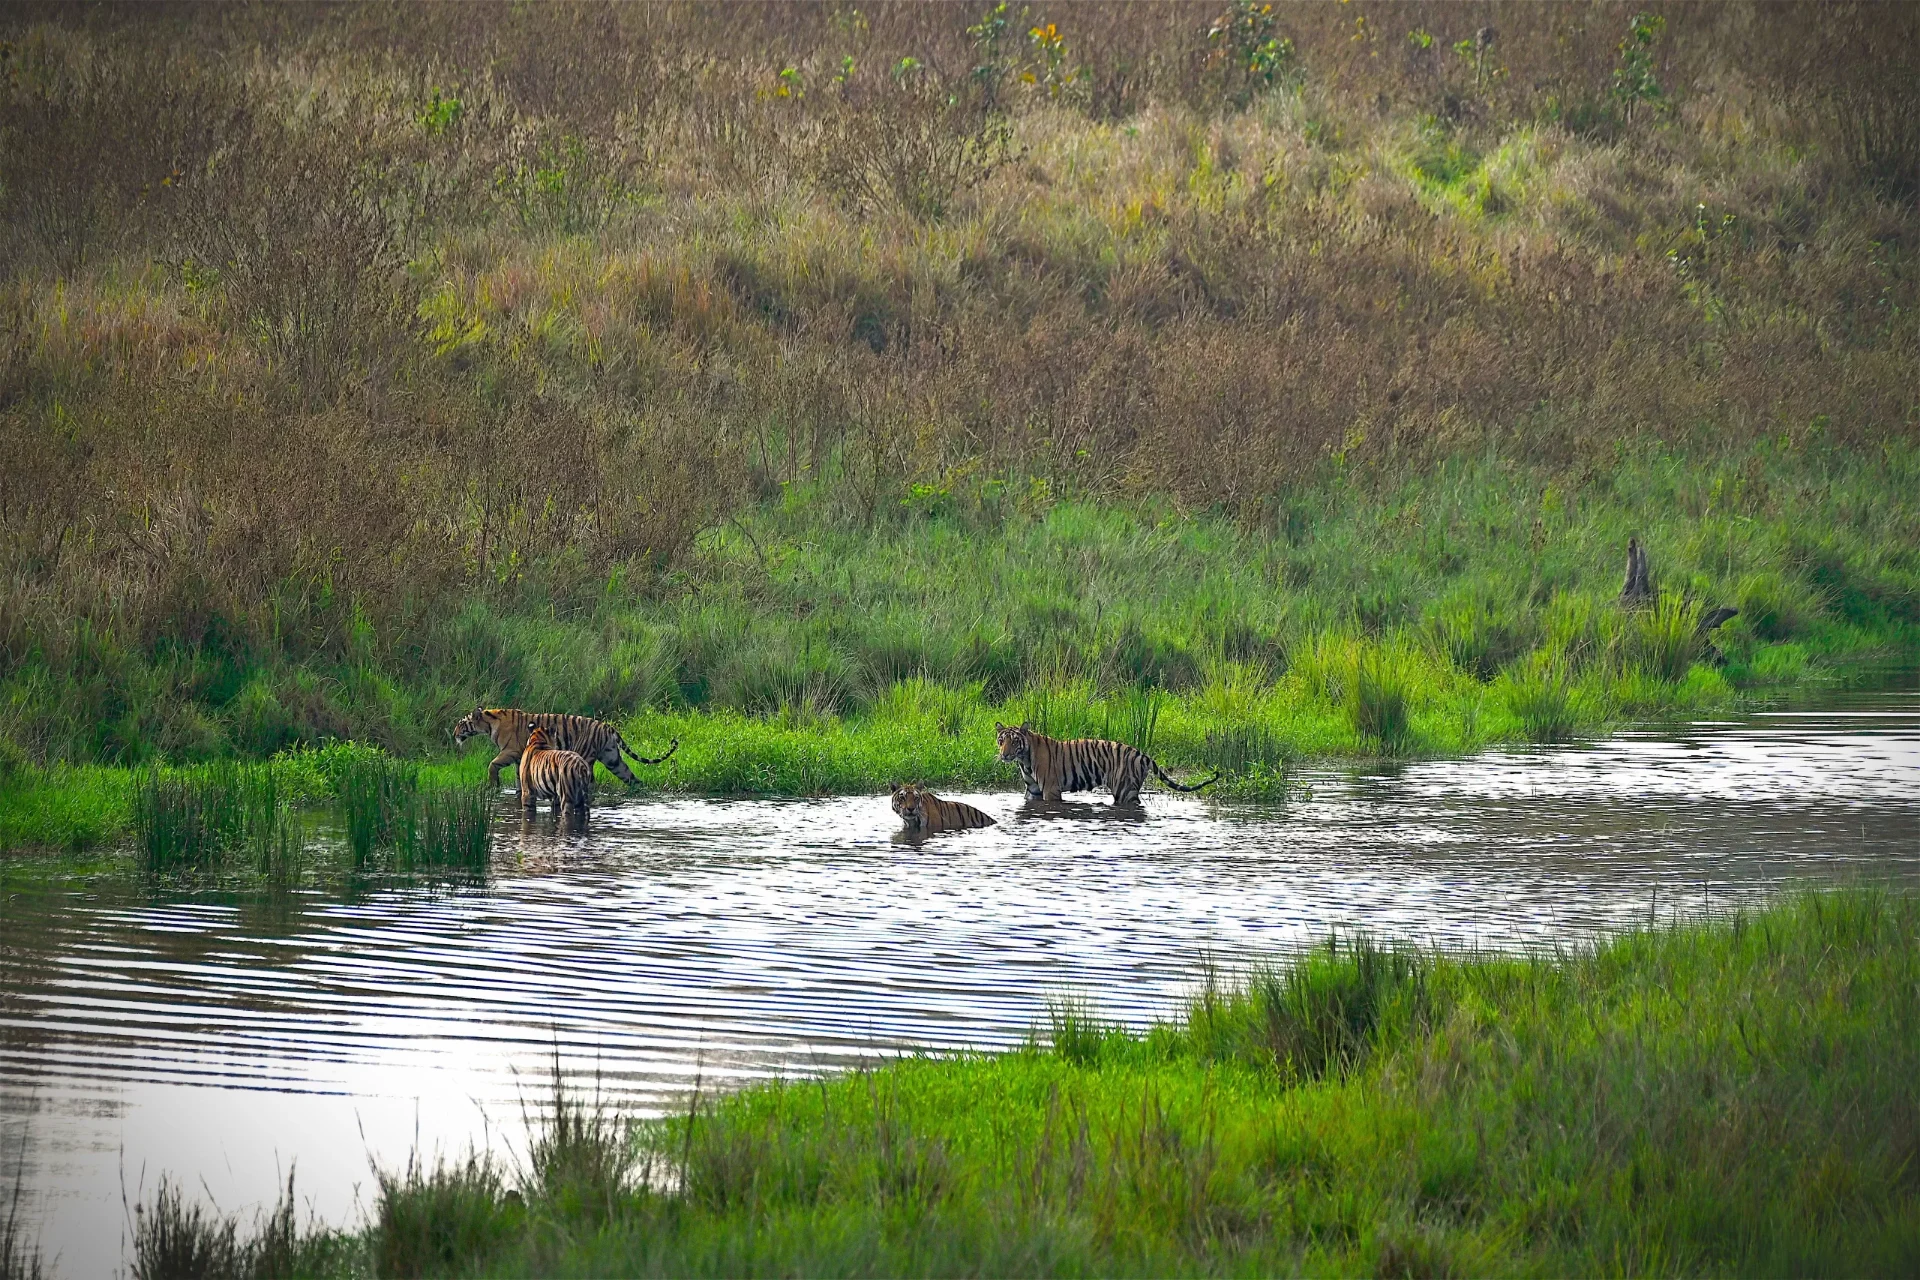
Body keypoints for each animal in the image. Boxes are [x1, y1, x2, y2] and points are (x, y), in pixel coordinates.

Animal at [452, 706, 677, 790]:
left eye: (461, 724)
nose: (454, 734)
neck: (489, 722)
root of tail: (608, 727)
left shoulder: (510, 751)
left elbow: (492, 764)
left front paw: (493, 785)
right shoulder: (518, 758)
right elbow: (518, 778)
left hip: (585, 756)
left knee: (590, 782)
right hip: (612, 758)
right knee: (631, 776)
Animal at [994, 722, 1220, 803]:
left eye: (1014, 742)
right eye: (1001, 741)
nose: (1004, 755)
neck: (1024, 760)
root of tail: (1141, 754)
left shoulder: (1051, 789)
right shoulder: (1033, 791)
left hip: (1124, 789)